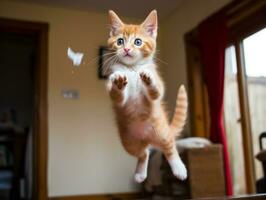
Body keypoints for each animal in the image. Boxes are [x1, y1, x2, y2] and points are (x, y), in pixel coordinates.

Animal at [105, 10, 187, 184]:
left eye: (138, 42)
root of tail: (148, 139)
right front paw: (118, 84)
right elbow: (118, 98)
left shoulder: (158, 88)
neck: (132, 69)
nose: (127, 49)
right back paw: (141, 173)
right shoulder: (116, 93)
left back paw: (179, 169)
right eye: (120, 41)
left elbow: (157, 92)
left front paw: (149, 79)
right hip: (129, 141)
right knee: (144, 153)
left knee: (170, 147)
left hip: (162, 132)